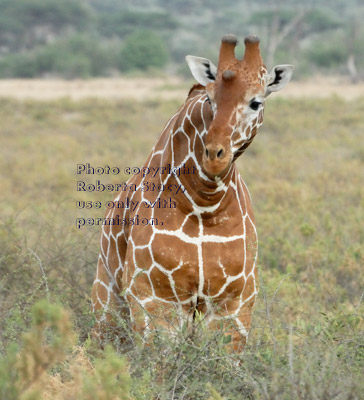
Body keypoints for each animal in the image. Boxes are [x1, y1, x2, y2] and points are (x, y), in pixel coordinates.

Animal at [91, 33, 292, 350]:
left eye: (256, 102)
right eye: (210, 99)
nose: (214, 155)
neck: (205, 202)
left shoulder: (233, 300)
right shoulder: (156, 296)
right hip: (107, 294)